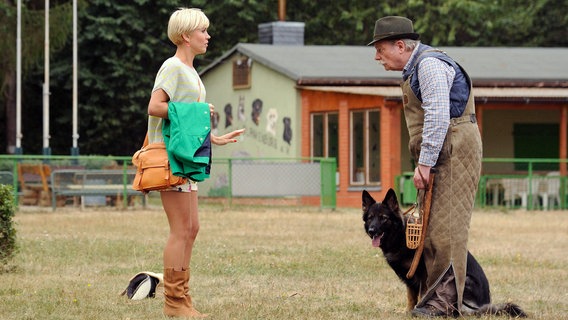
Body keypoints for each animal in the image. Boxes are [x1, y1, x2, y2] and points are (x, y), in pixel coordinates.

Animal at [362, 189, 524, 316]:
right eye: (370, 218)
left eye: (383, 218)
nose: (371, 230)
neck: (400, 235)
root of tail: (484, 304)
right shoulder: (410, 279)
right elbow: (411, 297)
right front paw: (408, 312)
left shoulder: (424, 276)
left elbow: (422, 295)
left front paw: (418, 310)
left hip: (464, 279)